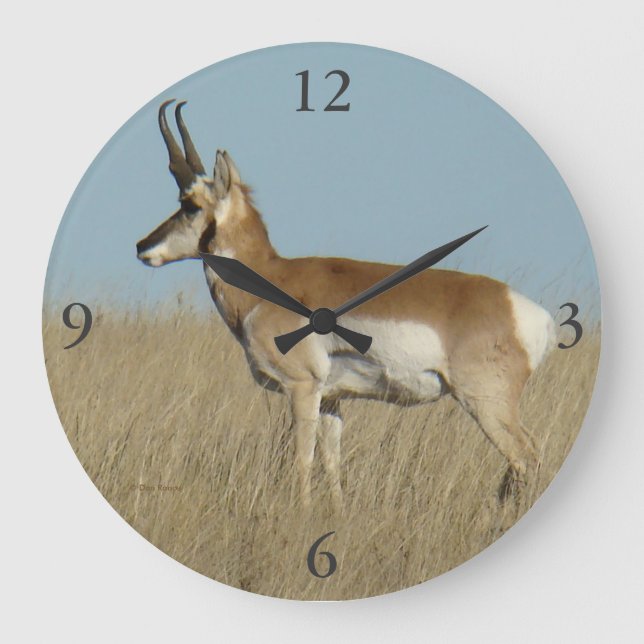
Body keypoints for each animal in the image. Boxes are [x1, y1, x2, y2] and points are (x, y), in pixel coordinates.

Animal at [136, 100, 556, 510]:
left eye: (190, 204)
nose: (142, 246)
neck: (272, 278)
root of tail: (530, 313)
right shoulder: (331, 400)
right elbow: (331, 461)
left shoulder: (302, 388)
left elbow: (302, 459)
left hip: (486, 405)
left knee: (527, 457)